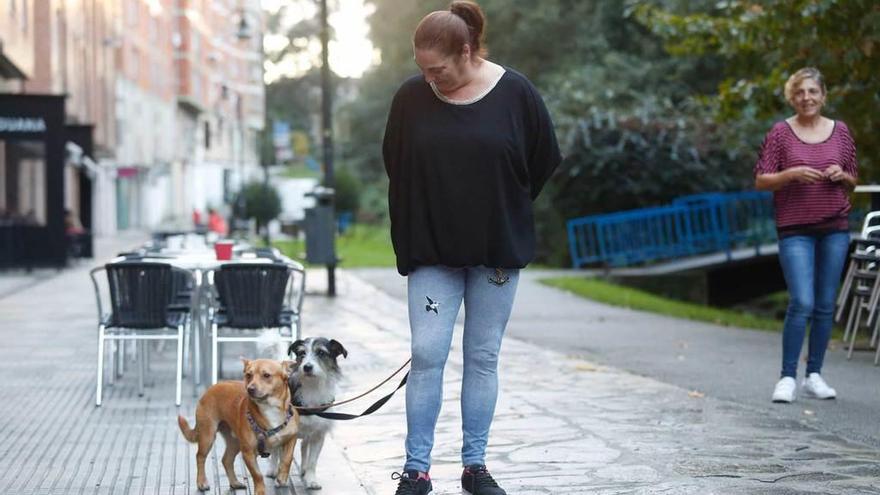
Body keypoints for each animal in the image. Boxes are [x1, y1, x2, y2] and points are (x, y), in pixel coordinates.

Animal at [178, 360, 300, 495]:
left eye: (266, 375)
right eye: (248, 375)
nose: (250, 389)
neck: (269, 408)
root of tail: (212, 387)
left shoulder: (291, 438)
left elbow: (287, 459)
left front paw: (282, 477)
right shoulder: (248, 453)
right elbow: (257, 475)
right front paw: (260, 491)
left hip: (234, 442)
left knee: (226, 460)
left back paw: (235, 483)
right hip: (208, 436)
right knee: (200, 457)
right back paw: (202, 482)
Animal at [286, 340, 348, 490]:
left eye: (321, 352)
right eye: (302, 353)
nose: (307, 367)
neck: (312, 386)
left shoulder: (318, 435)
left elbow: (312, 461)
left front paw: (311, 480)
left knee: (304, 446)